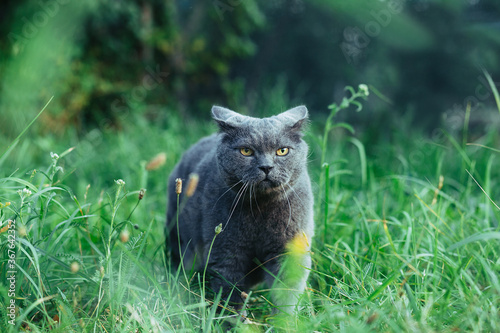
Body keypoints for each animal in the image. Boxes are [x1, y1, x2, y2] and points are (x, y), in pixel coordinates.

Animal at [169, 105, 316, 312]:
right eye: (246, 151)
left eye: (282, 151)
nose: (266, 167)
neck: (261, 210)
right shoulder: (226, 251)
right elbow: (229, 294)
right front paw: (234, 319)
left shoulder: (288, 249)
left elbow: (287, 292)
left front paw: (283, 318)